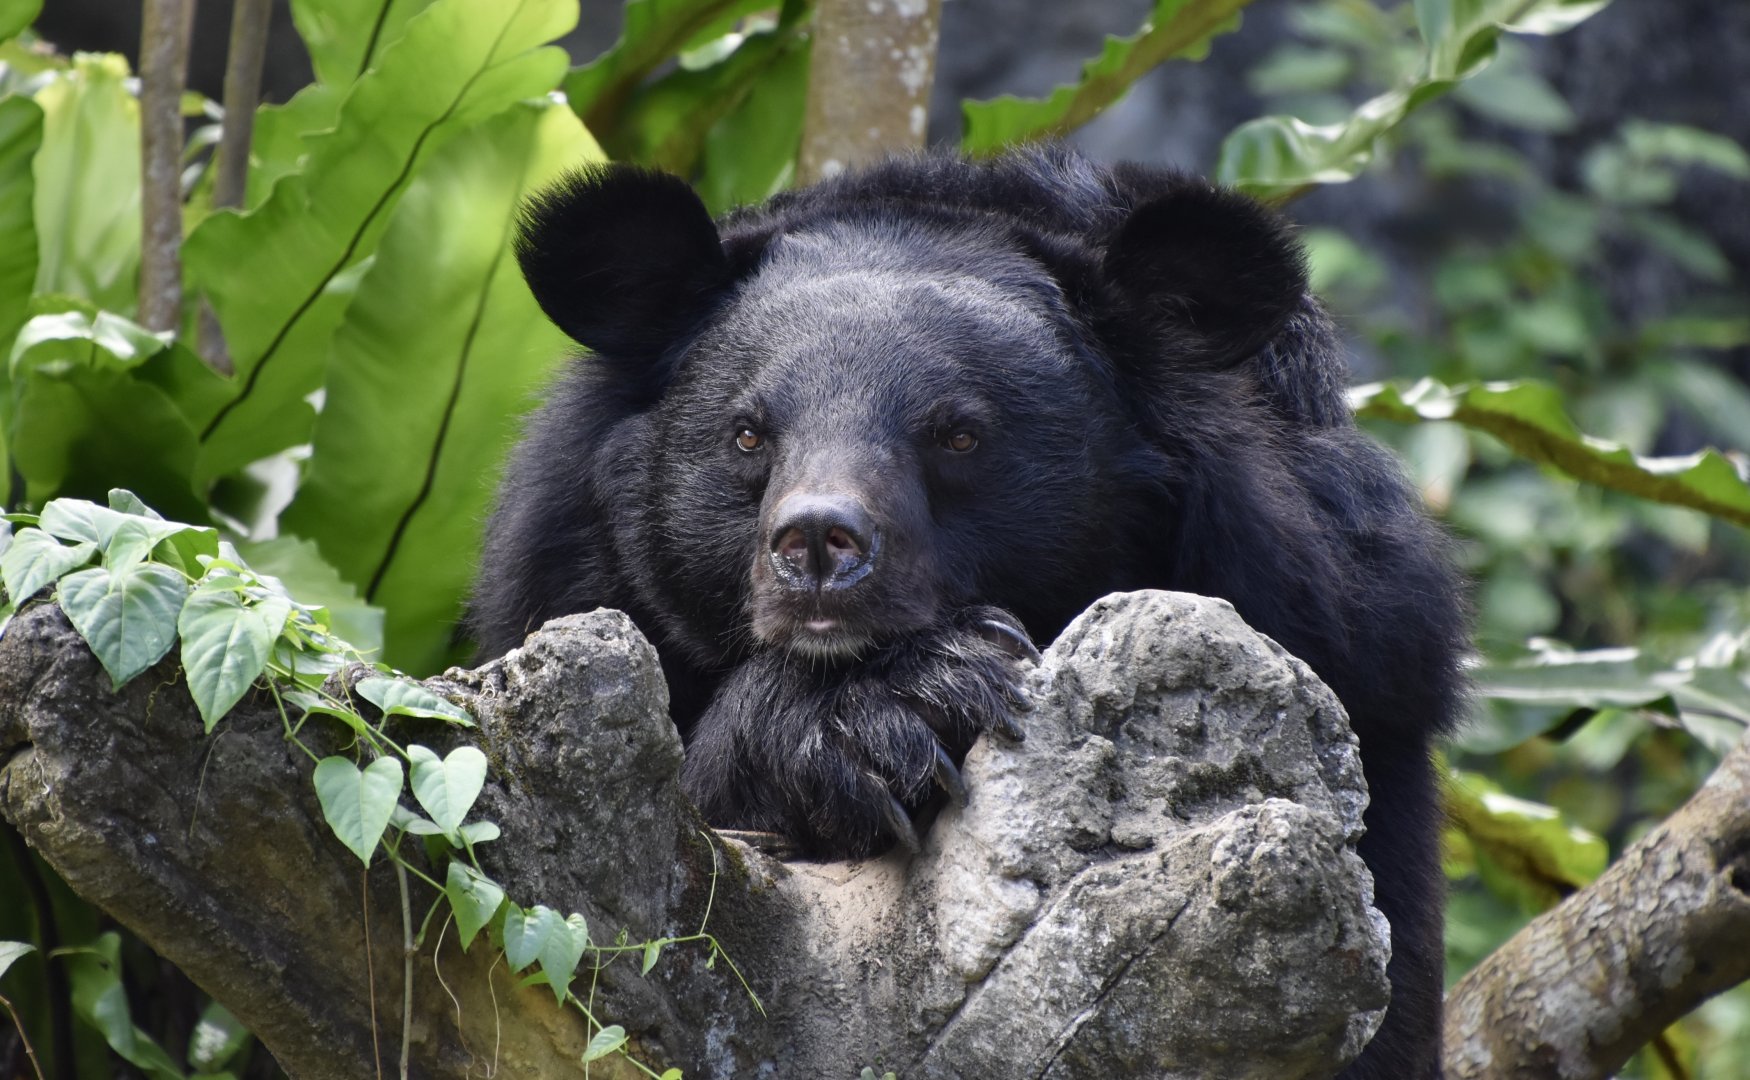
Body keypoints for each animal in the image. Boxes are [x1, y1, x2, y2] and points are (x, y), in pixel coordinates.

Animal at [470, 147, 1467, 1080]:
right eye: (748, 434)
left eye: (958, 435)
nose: (818, 545)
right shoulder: (568, 578)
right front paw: (886, 714)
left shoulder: (1346, 646)